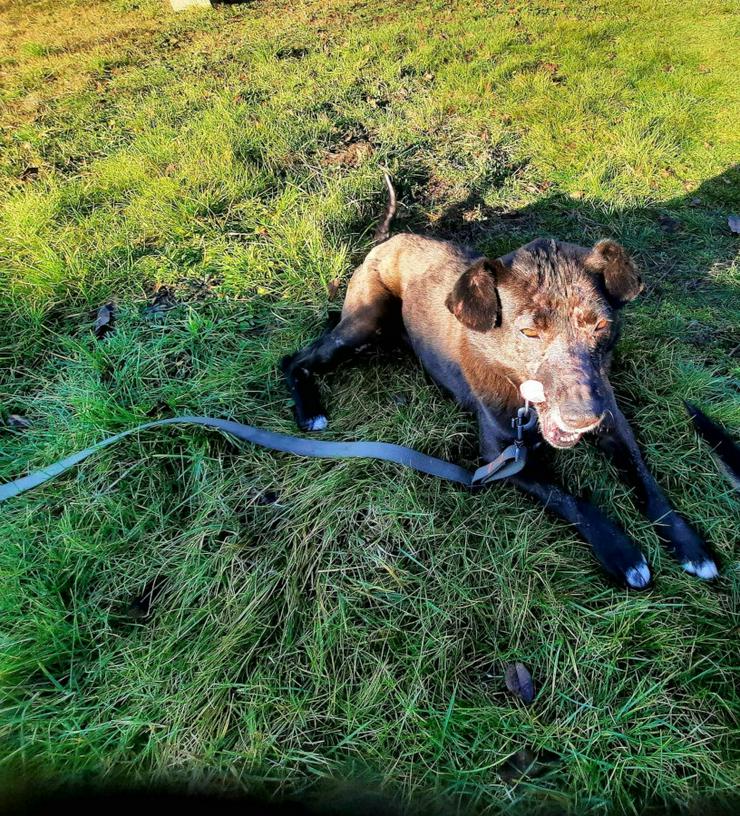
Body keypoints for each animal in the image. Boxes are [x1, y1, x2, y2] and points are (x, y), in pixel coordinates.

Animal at [282, 177, 716, 588]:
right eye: (529, 332)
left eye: (601, 326)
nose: (584, 417)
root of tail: (390, 239)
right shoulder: (502, 460)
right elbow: (573, 500)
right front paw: (622, 553)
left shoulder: (615, 423)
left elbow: (647, 480)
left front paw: (690, 545)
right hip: (365, 320)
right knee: (293, 359)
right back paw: (310, 411)